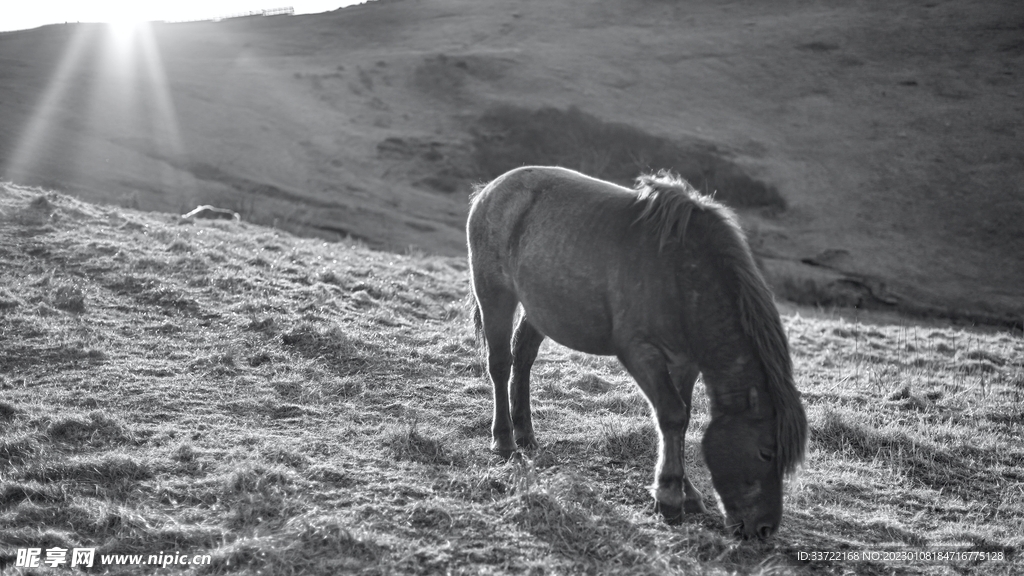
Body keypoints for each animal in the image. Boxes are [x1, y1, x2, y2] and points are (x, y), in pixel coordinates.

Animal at [467, 166, 806, 539]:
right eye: (766, 453)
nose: (764, 529)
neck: (682, 274)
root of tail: (491, 188)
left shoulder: (685, 362)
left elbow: (683, 416)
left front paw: (687, 493)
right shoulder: (641, 353)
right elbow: (672, 415)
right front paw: (670, 497)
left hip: (539, 309)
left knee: (524, 357)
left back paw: (526, 434)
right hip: (495, 294)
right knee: (501, 364)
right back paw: (505, 441)